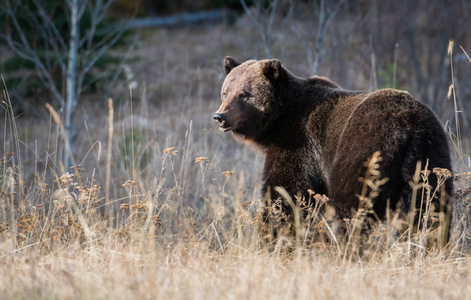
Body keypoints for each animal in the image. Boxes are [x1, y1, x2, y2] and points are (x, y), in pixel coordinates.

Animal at [214, 55, 454, 239]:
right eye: (225, 91)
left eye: (244, 94)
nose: (220, 116)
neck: (279, 120)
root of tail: (408, 126)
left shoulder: (298, 144)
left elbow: (285, 193)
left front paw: (272, 235)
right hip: (430, 156)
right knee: (431, 208)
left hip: (364, 148)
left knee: (351, 204)